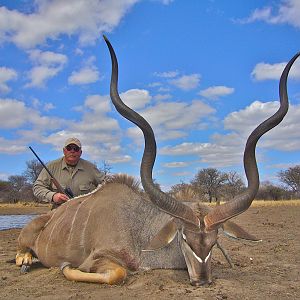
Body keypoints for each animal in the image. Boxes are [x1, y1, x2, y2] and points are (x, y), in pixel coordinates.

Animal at [16, 37, 300, 286]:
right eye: (185, 238)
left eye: (214, 240)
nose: (202, 280)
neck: (138, 228)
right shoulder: (98, 259)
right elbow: (116, 273)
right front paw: (64, 266)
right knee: (23, 248)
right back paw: (25, 259)